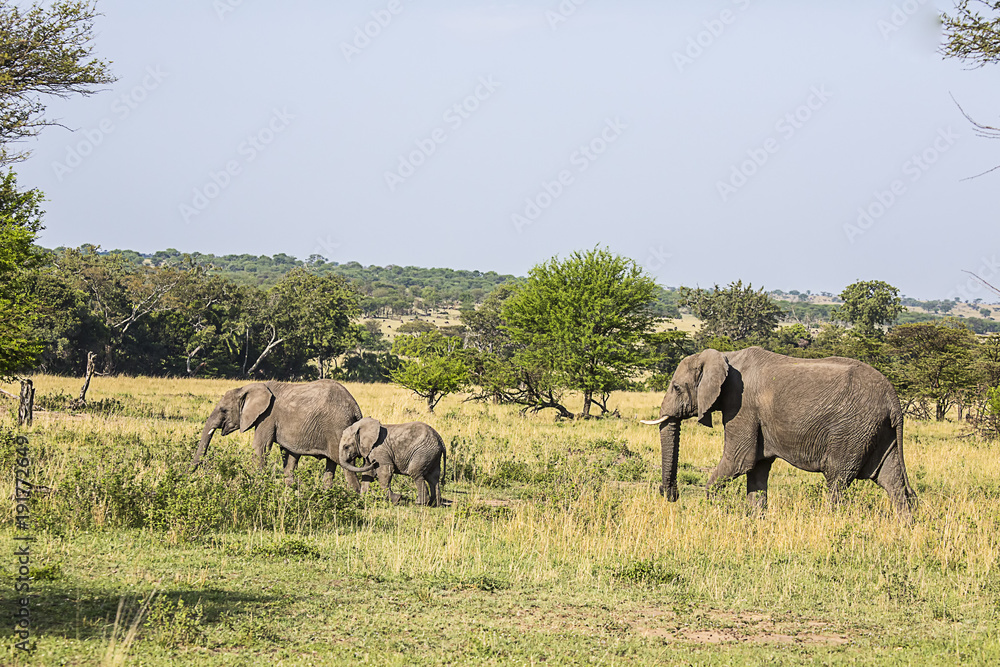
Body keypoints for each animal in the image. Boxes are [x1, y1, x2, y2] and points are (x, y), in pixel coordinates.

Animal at [189, 380, 366, 490]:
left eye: (223, 410)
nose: (187, 476)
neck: (249, 387)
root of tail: (356, 409)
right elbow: (289, 457)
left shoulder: (267, 417)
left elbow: (260, 448)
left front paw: (257, 489)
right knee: (331, 465)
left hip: (339, 429)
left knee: (347, 467)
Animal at [644, 348, 916, 520]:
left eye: (676, 388)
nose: (669, 494)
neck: (726, 356)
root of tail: (893, 398)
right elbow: (757, 468)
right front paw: (755, 520)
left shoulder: (742, 406)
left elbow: (739, 461)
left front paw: (715, 511)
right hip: (880, 431)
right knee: (892, 481)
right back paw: (905, 528)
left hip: (852, 430)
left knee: (837, 480)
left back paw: (831, 523)